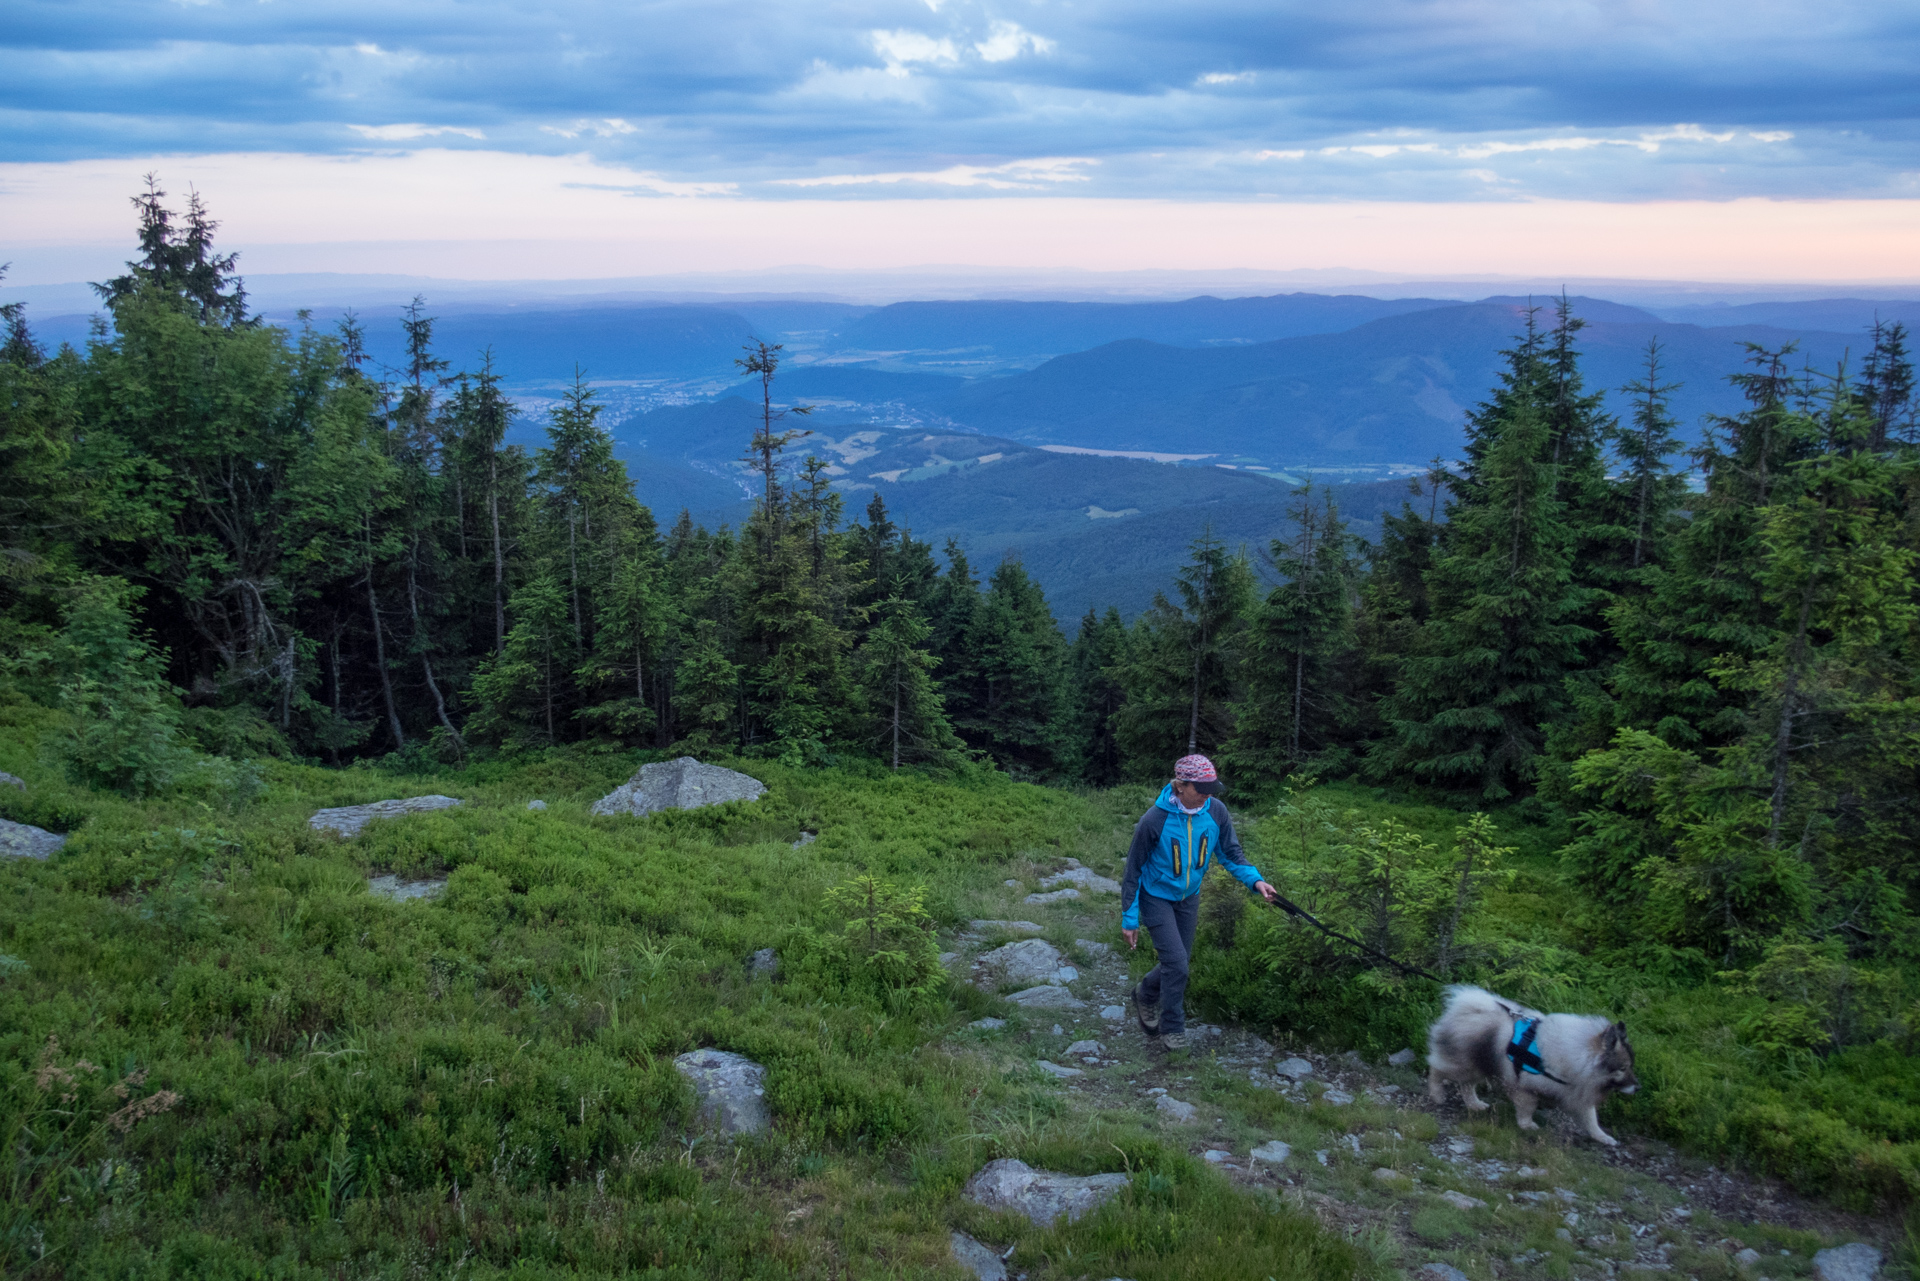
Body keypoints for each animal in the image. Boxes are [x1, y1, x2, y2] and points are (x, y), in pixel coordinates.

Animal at [1428, 990, 1635, 1144]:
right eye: (1622, 1068)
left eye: (1630, 1067)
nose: (1638, 1086)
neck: (1579, 1054)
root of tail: (1466, 1007)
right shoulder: (1525, 1087)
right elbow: (1527, 1108)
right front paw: (1527, 1125)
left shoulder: (1575, 1093)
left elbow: (1591, 1119)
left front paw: (1603, 1137)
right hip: (1463, 1064)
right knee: (1437, 1070)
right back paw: (1437, 1094)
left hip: (1477, 1065)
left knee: (1466, 1085)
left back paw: (1475, 1104)